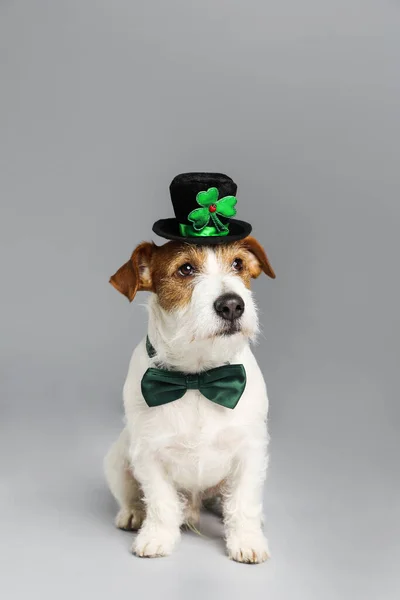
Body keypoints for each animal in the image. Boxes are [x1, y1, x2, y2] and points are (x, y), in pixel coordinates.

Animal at [104, 236, 276, 564]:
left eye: (238, 264)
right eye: (185, 269)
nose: (232, 304)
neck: (197, 378)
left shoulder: (250, 451)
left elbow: (244, 501)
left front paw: (246, 539)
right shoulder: (148, 453)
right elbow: (160, 501)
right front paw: (157, 536)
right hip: (118, 458)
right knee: (134, 496)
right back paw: (133, 514)